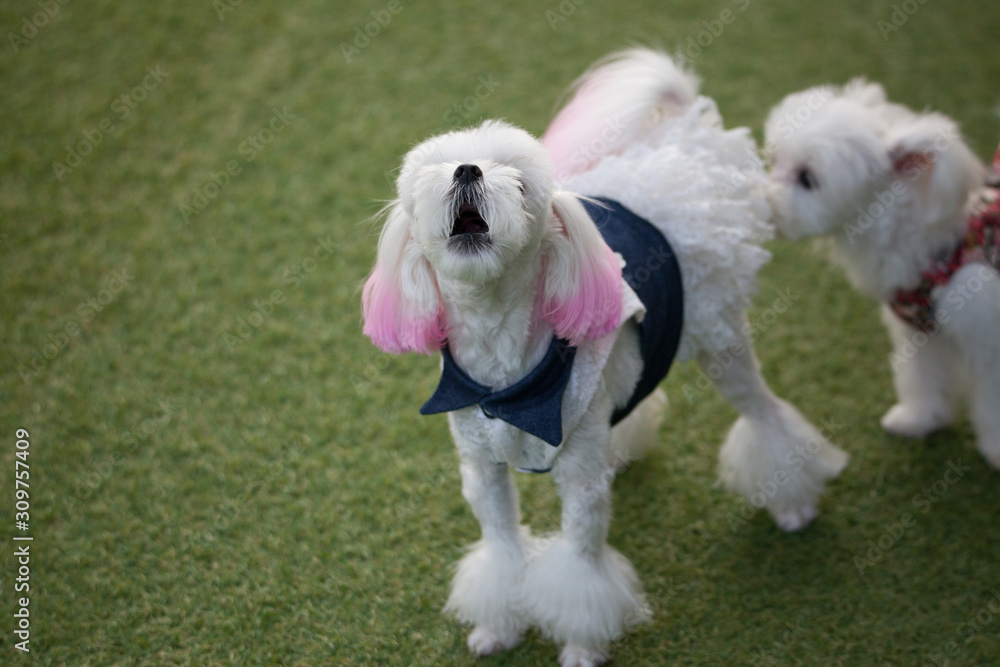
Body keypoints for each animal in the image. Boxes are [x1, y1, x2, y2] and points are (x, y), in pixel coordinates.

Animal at [360, 48, 844, 667]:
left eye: (520, 184)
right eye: (433, 174)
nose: (467, 171)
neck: (504, 366)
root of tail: (682, 135)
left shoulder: (580, 482)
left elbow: (582, 570)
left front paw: (581, 645)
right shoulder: (483, 470)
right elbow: (501, 549)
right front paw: (499, 624)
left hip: (721, 340)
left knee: (764, 414)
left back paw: (792, 502)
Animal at [764, 82, 1000, 470]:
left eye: (807, 179)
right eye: (774, 161)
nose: (758, 199)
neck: (934, 251)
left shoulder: (989, 339)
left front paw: (996, 449)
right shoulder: (919, 332)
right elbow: (922, 378)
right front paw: (919, 420)